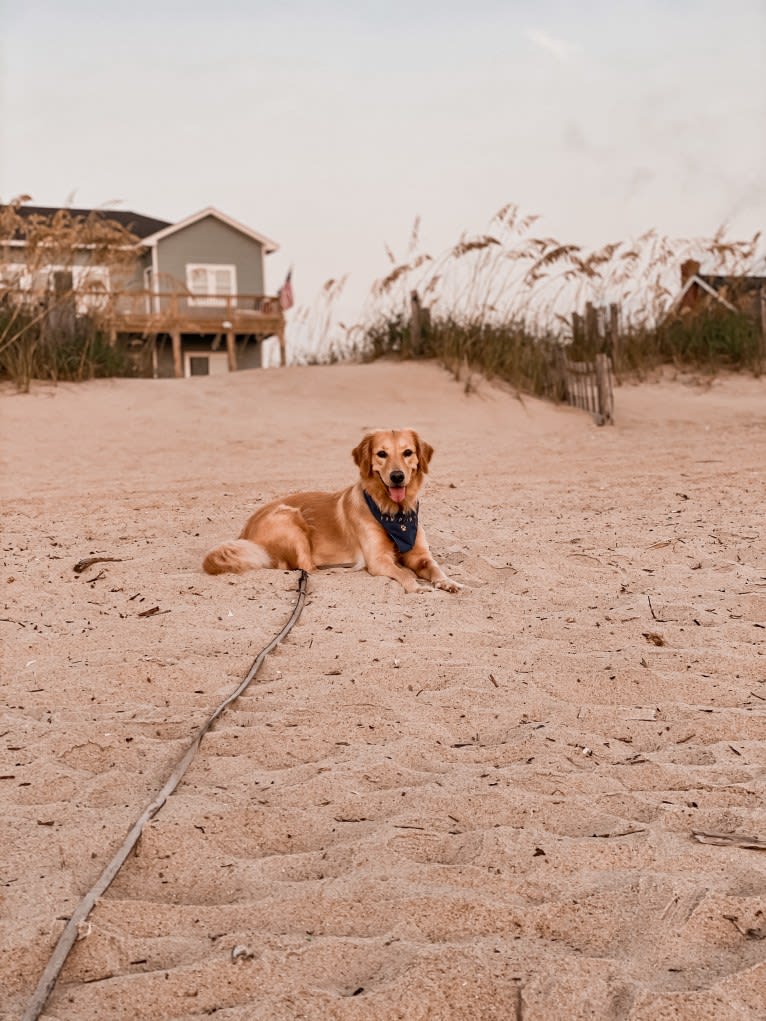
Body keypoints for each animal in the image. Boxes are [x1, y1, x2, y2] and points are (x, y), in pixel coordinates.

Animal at [204, 428, 461, 592]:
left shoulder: (419, 554)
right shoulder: (378, 559)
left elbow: (435, 567)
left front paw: (449, 582)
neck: (393, 513)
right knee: (304, 568)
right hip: (290, 518)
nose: (397, 476)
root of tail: (245, 531)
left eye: (408, 453)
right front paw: (415, 586)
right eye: (382, 454)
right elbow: (404, 572)